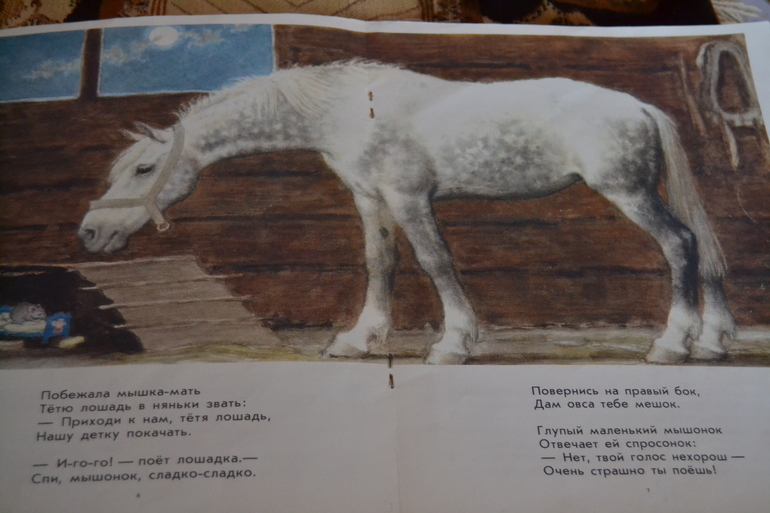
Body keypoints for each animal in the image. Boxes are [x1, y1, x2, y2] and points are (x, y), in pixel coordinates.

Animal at [78, 60, 735, 364]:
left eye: (143, 170)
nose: (89, 233)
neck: (346, 109)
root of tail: (642, 106)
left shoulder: (408, 197)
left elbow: (435, 262)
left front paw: (452, 344)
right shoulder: (370, 198)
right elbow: (381, 263)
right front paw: (357, 339)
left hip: (627, 192)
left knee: (680, 246)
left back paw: (672, 344)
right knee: (700, 251)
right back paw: (713, 341)